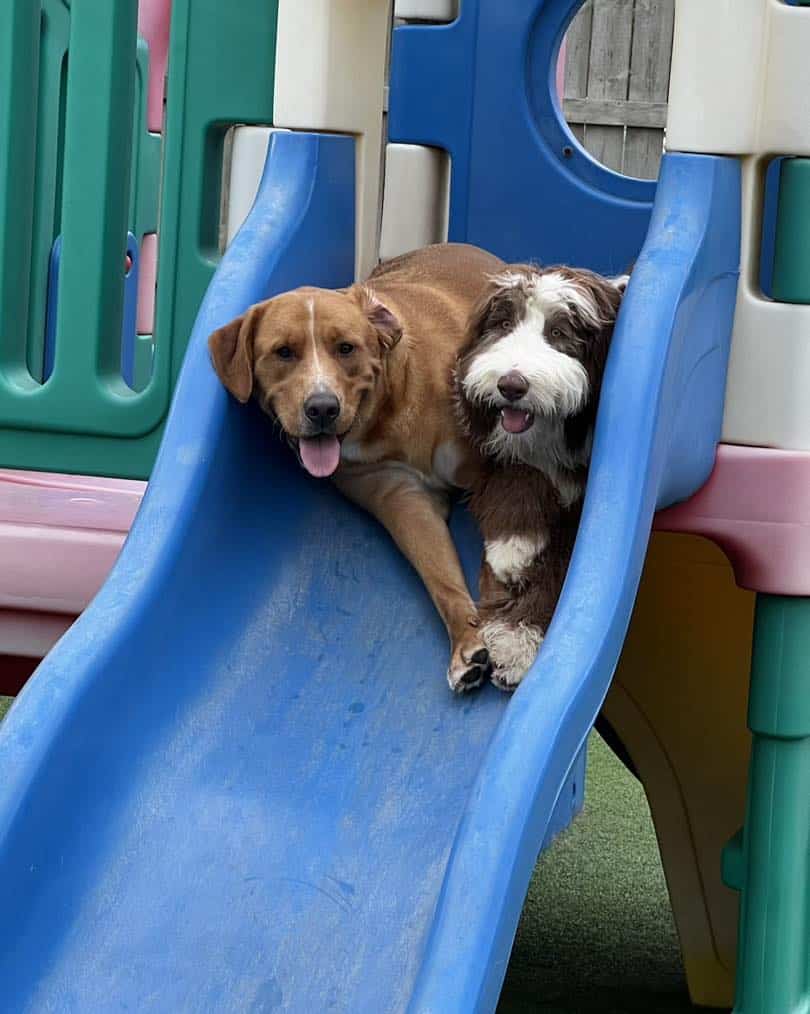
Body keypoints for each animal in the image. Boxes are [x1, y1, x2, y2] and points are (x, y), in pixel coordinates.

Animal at [205, 241, 502, 693]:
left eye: (346, 348)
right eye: (283, 352)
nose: (322, 408)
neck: (389, 414)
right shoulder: (403, 500)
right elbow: (441, 579)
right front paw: (468, 642)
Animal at [456, 263, 628, 689]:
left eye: (560, 333)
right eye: (504, 324)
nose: (510, 385)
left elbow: (565, 559)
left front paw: (517, 639)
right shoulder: (490, 452)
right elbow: (519, 474)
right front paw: (513, 547)